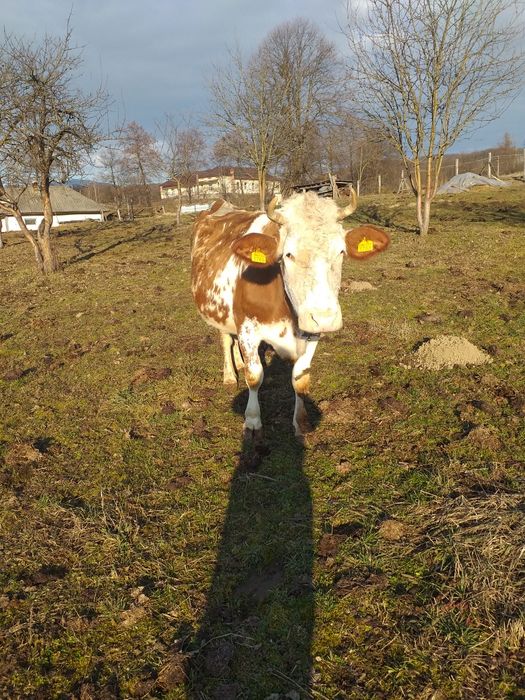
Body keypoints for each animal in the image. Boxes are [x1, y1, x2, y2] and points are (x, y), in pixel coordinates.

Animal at [191, 189, 389, 440]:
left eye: (341, 251)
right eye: (288, 254)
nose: (325, 317)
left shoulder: (310, 330)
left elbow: (300, 379)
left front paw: (301, 422)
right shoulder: (247, 328)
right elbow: (254, 376)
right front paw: (252, 421)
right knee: (226, 339)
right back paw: (229, 375)